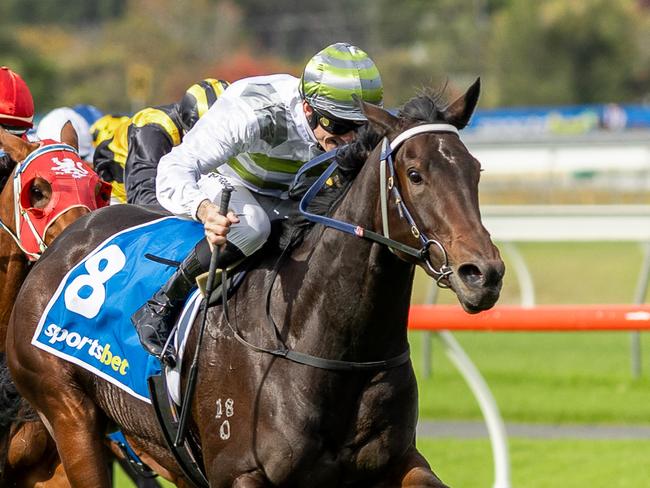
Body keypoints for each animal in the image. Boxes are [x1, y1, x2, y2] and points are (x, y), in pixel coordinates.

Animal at [6, 78, 502, 486]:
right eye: (415, 175)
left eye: (475, 170)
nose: (483, 274)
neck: (321, 341)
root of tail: (66, 237)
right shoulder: (240, 472)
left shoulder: (398, 462)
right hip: (70, 417)